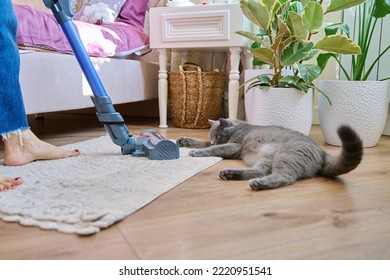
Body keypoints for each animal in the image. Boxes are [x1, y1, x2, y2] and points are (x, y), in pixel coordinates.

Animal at [177, 118, 362, 190]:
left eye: (217, 136)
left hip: (287, 155)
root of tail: (322, 152)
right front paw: (183, 141)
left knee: (285, 177)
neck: (239, 126)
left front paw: (196, 152)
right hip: (267, 157)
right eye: (212, 137)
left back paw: (258, 184)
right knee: (260, 171)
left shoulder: (233, 145)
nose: (214, 141)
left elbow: (213, 149)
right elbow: (201, 142)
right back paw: (229, 174)